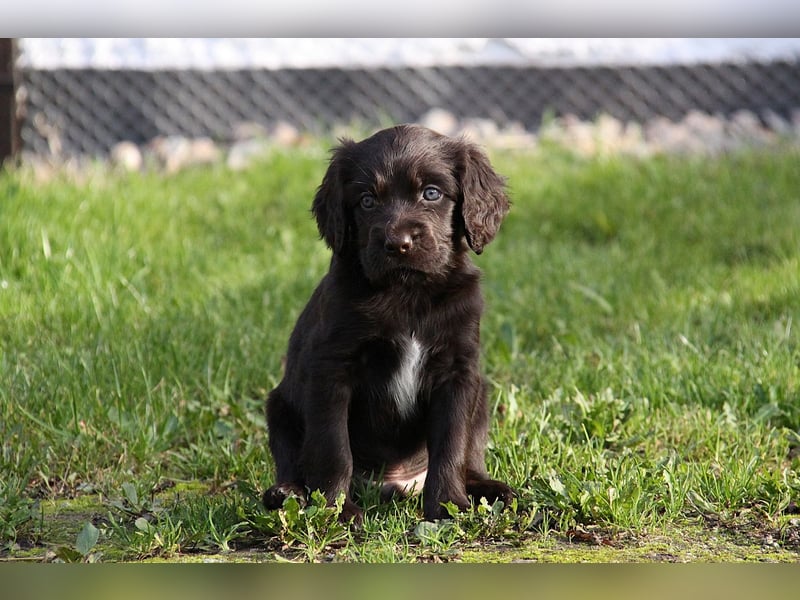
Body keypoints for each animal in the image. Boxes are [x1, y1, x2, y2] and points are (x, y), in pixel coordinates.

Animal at [262, 124, 512, 524]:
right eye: (366, 201)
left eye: (431, 193)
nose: (398, 243)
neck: (407, 293)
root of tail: (395, 486)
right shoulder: (331, 368)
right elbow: (333, 447)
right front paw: (337, 509)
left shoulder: (458, 372)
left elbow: (452, 443)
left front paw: (446, 506)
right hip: (279, 407)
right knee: (291, 459)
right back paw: (287, 493)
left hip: (483, 392)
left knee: (470, 456)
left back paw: (489, 490)